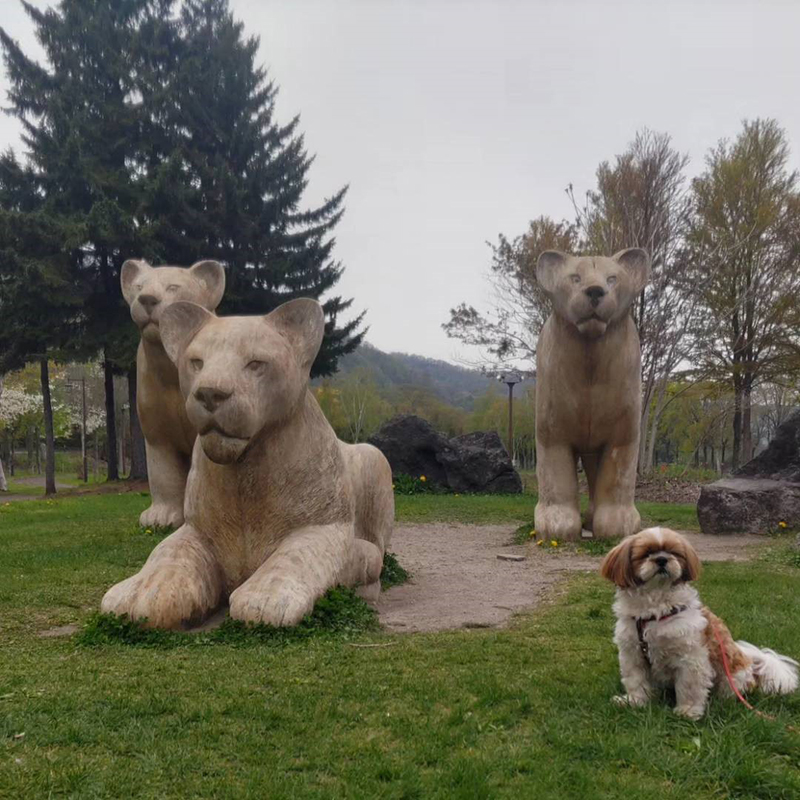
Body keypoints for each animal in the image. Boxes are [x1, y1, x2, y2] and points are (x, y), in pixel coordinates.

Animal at [600, 524, 792, 720]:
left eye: (673, 552)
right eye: (647, 553)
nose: (661, 559)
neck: (654, 611)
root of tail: (752, 664)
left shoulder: (690, 657)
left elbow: (689, 686)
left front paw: (688, 711)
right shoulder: (633, 654)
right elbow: (636, 680)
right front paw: (634, 701)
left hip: (731, 677)